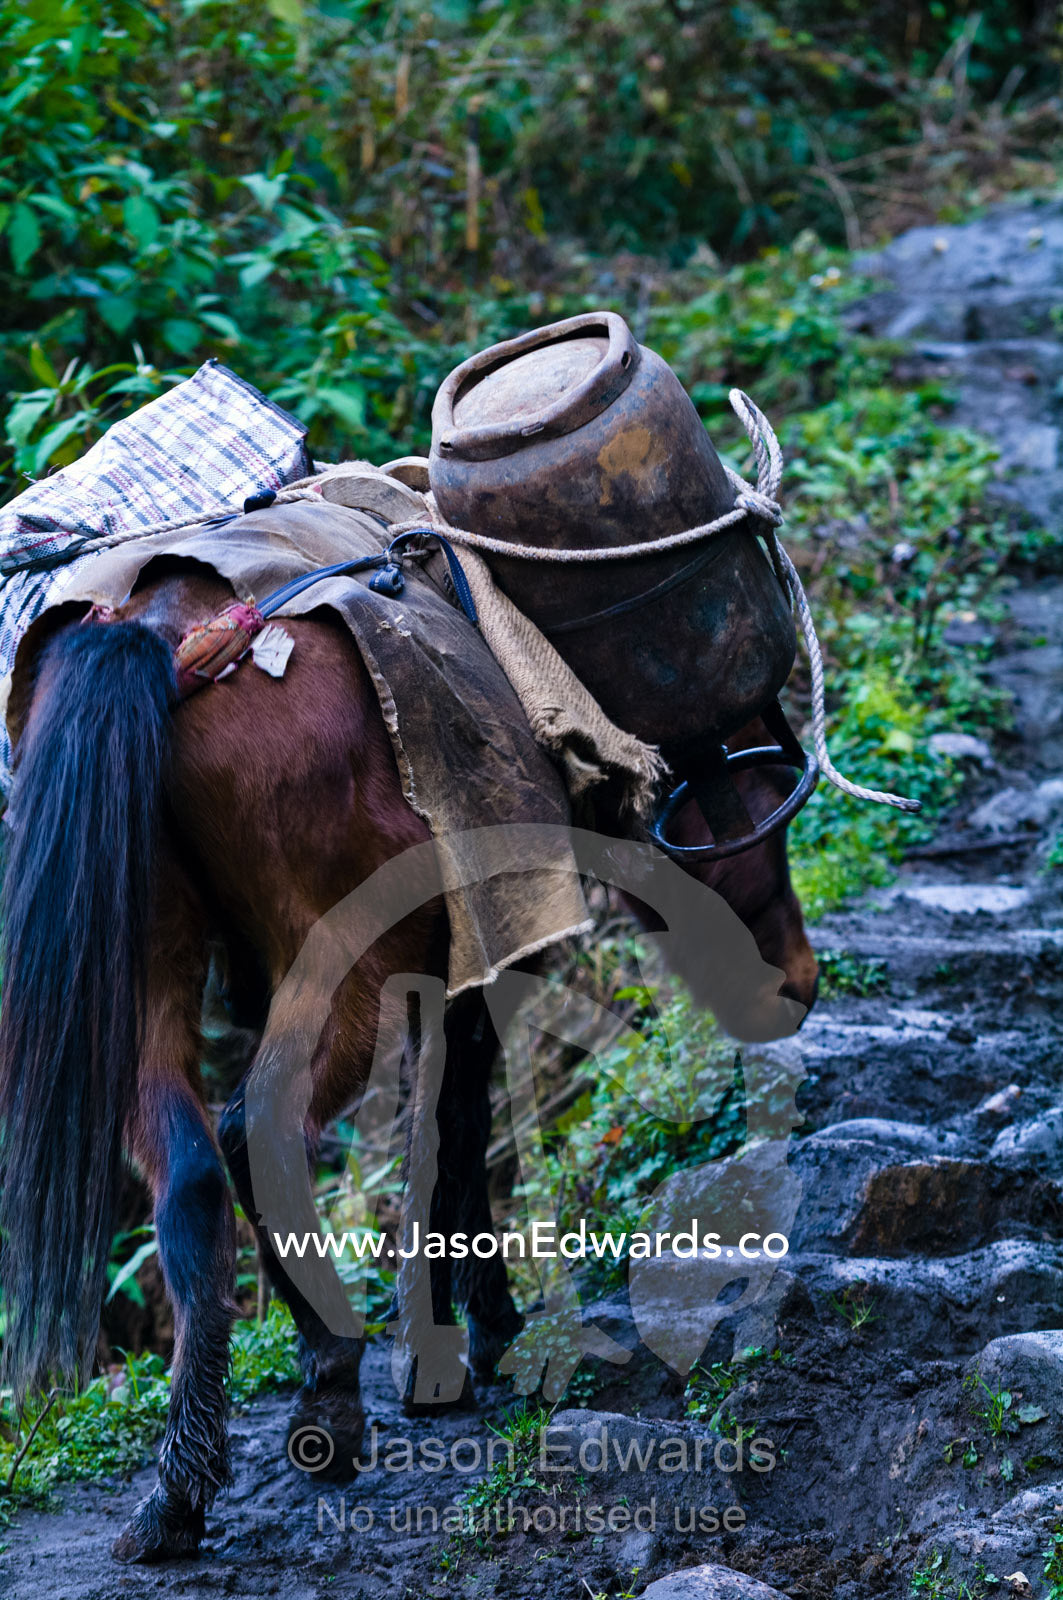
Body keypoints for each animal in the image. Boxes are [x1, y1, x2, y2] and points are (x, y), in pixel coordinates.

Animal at [0, 563, 817, 1564]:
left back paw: (186, 1481)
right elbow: (452, 1133)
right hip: (342, 963)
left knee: (191, 1179)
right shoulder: (474, 963)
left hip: (147, 962)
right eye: (761, 804)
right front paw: (475, 1332)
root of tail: (160, 637)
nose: (797, 985)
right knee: (258, 1129)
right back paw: (327, 1388)